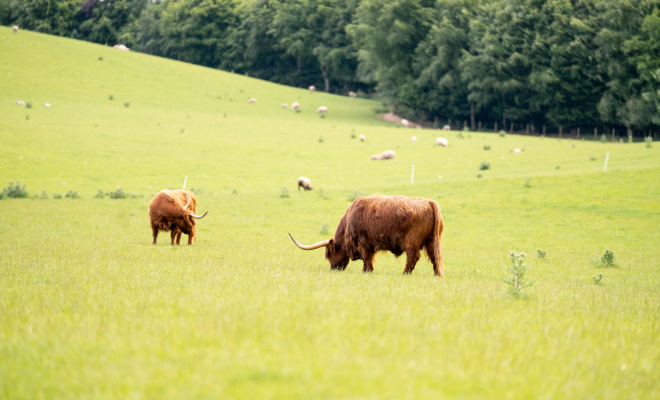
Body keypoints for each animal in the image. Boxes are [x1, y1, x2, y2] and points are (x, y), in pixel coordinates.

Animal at [288, 195, 444, 276]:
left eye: (330, 254)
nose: (334, 269)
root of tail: (429, 202)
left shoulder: (363, 243)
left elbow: (367, 258)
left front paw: (367, 272)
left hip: (412, 242)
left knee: (413, 257)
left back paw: (404, 274)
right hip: (431, 241)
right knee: (434, 257)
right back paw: (436, 275)